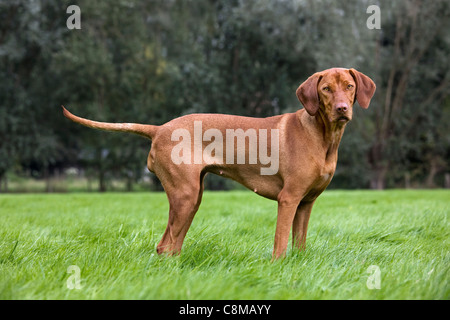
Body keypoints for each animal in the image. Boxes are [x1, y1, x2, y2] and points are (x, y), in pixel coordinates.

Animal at [61, 68, 374, 260]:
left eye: (349, 87)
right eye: (325, 89)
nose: (342, 109)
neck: (323, 137)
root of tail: (159, 129)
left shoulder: (306, 203)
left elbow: (299, 243)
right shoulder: (288, 199)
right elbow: (281, 244)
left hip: (192, 198)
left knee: (171, 246)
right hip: (185, 196)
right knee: (164, 246)